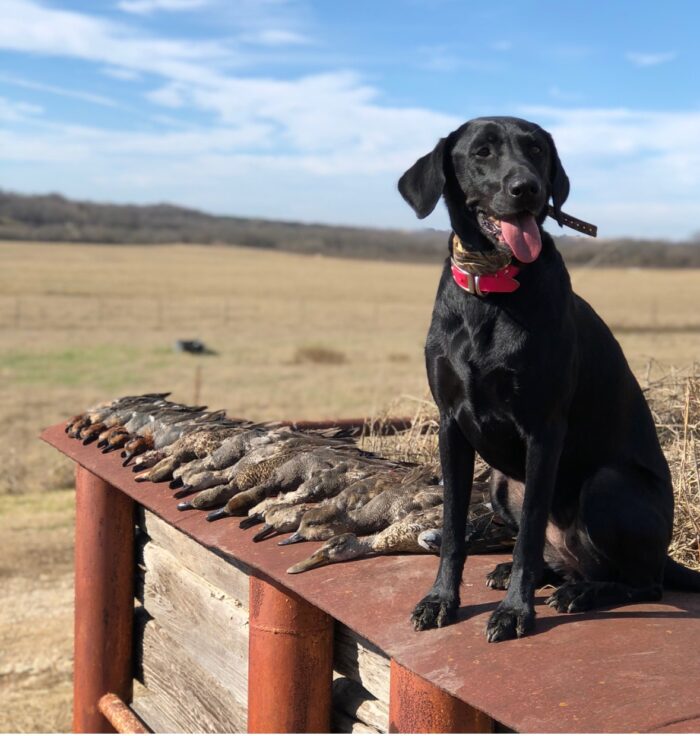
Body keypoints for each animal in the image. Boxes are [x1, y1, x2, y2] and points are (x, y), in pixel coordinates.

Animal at [400, 116, 700, 644]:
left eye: (537, 150)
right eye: (482, 152)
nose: (527, 188)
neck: (492, 292)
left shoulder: (543, 430)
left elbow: (529, 533)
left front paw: (515, 612)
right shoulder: (451, 425)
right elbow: (454, 529)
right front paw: (440, 601)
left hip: (608, 484)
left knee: (643, 582)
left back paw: (582, 592)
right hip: (501, 483)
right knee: (557, 555)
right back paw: (543, 577)